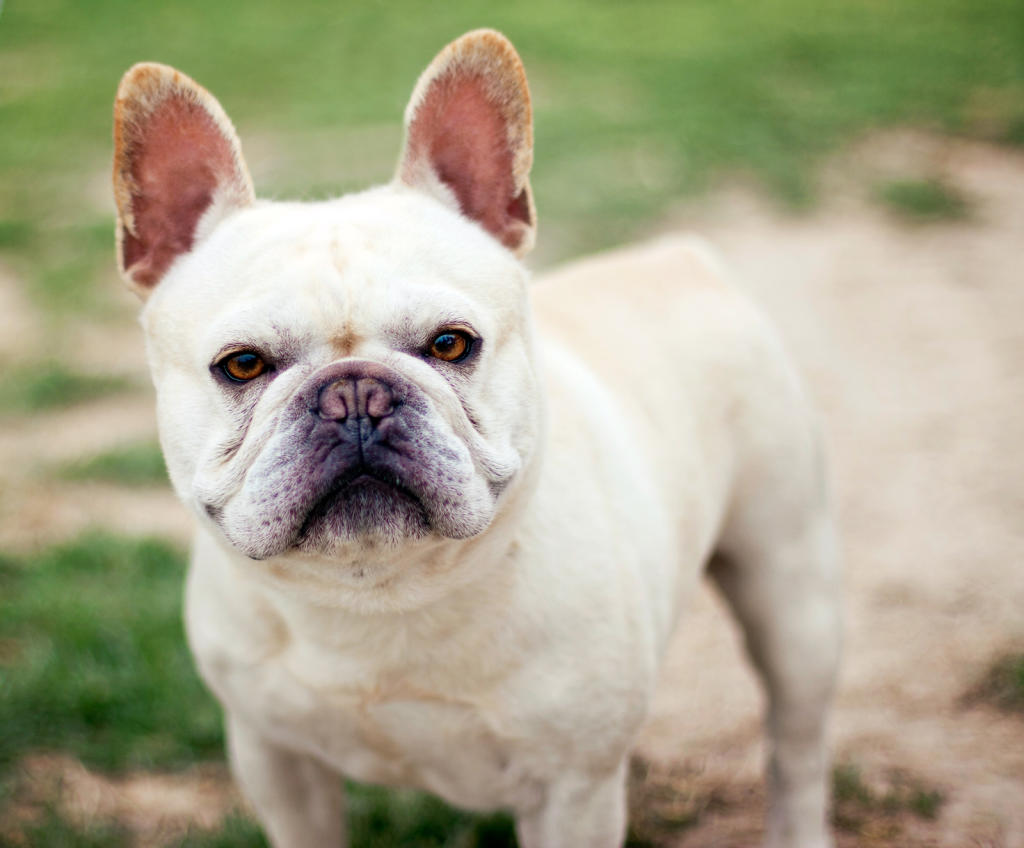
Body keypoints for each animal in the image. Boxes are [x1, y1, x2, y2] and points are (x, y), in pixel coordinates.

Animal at [110, 28, 839, 847]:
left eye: (452, 344)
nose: (354, 393)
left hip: (791, 589)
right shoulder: (276, 759)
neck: (376, 598)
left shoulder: (573, 791)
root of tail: (677, 257)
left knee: (796, 744)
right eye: (241, 364)